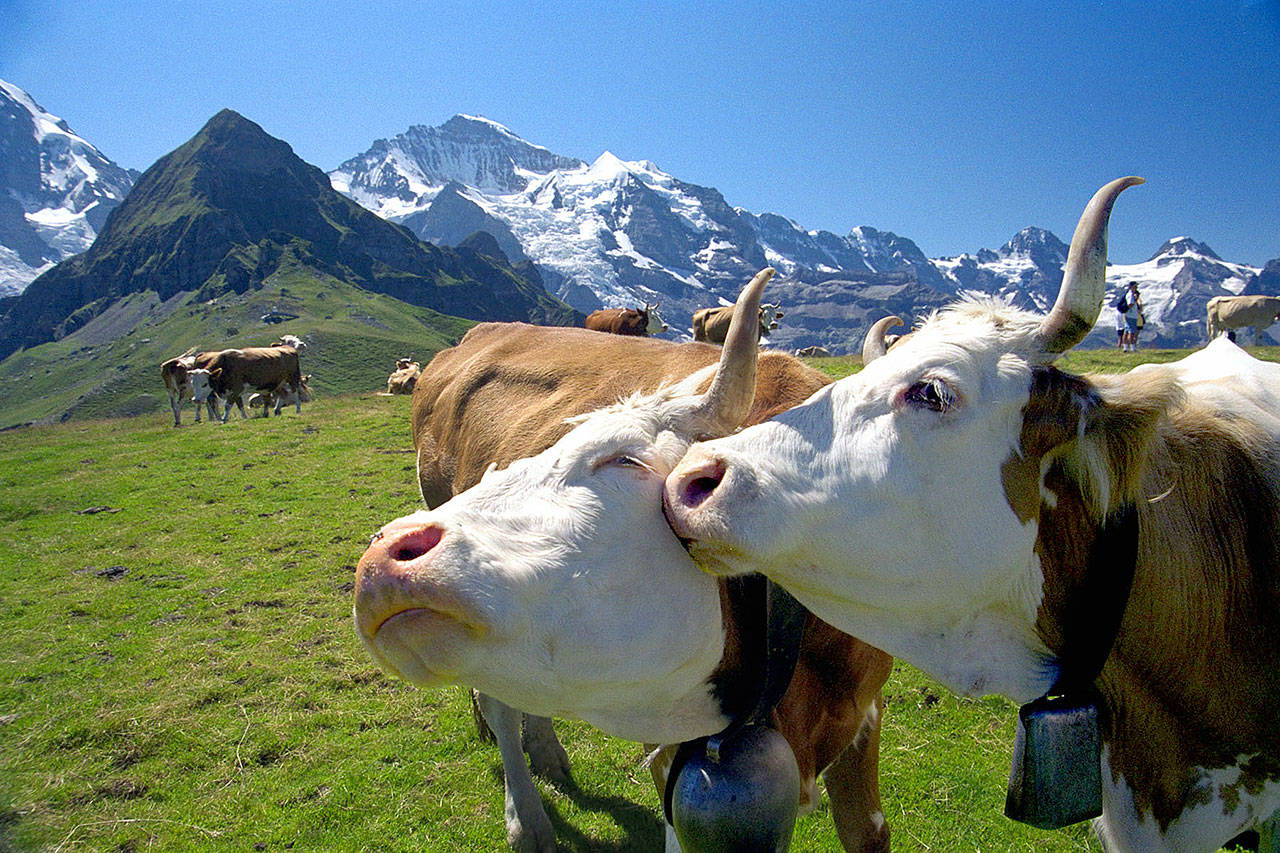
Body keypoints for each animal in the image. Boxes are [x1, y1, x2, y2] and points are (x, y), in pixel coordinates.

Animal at [350, 270, 890, 850]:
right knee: (500, 705)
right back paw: (527, 819)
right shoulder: (673, 754)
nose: (385, 550)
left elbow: (867, 832)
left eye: (623, 459)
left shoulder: (866, 713)